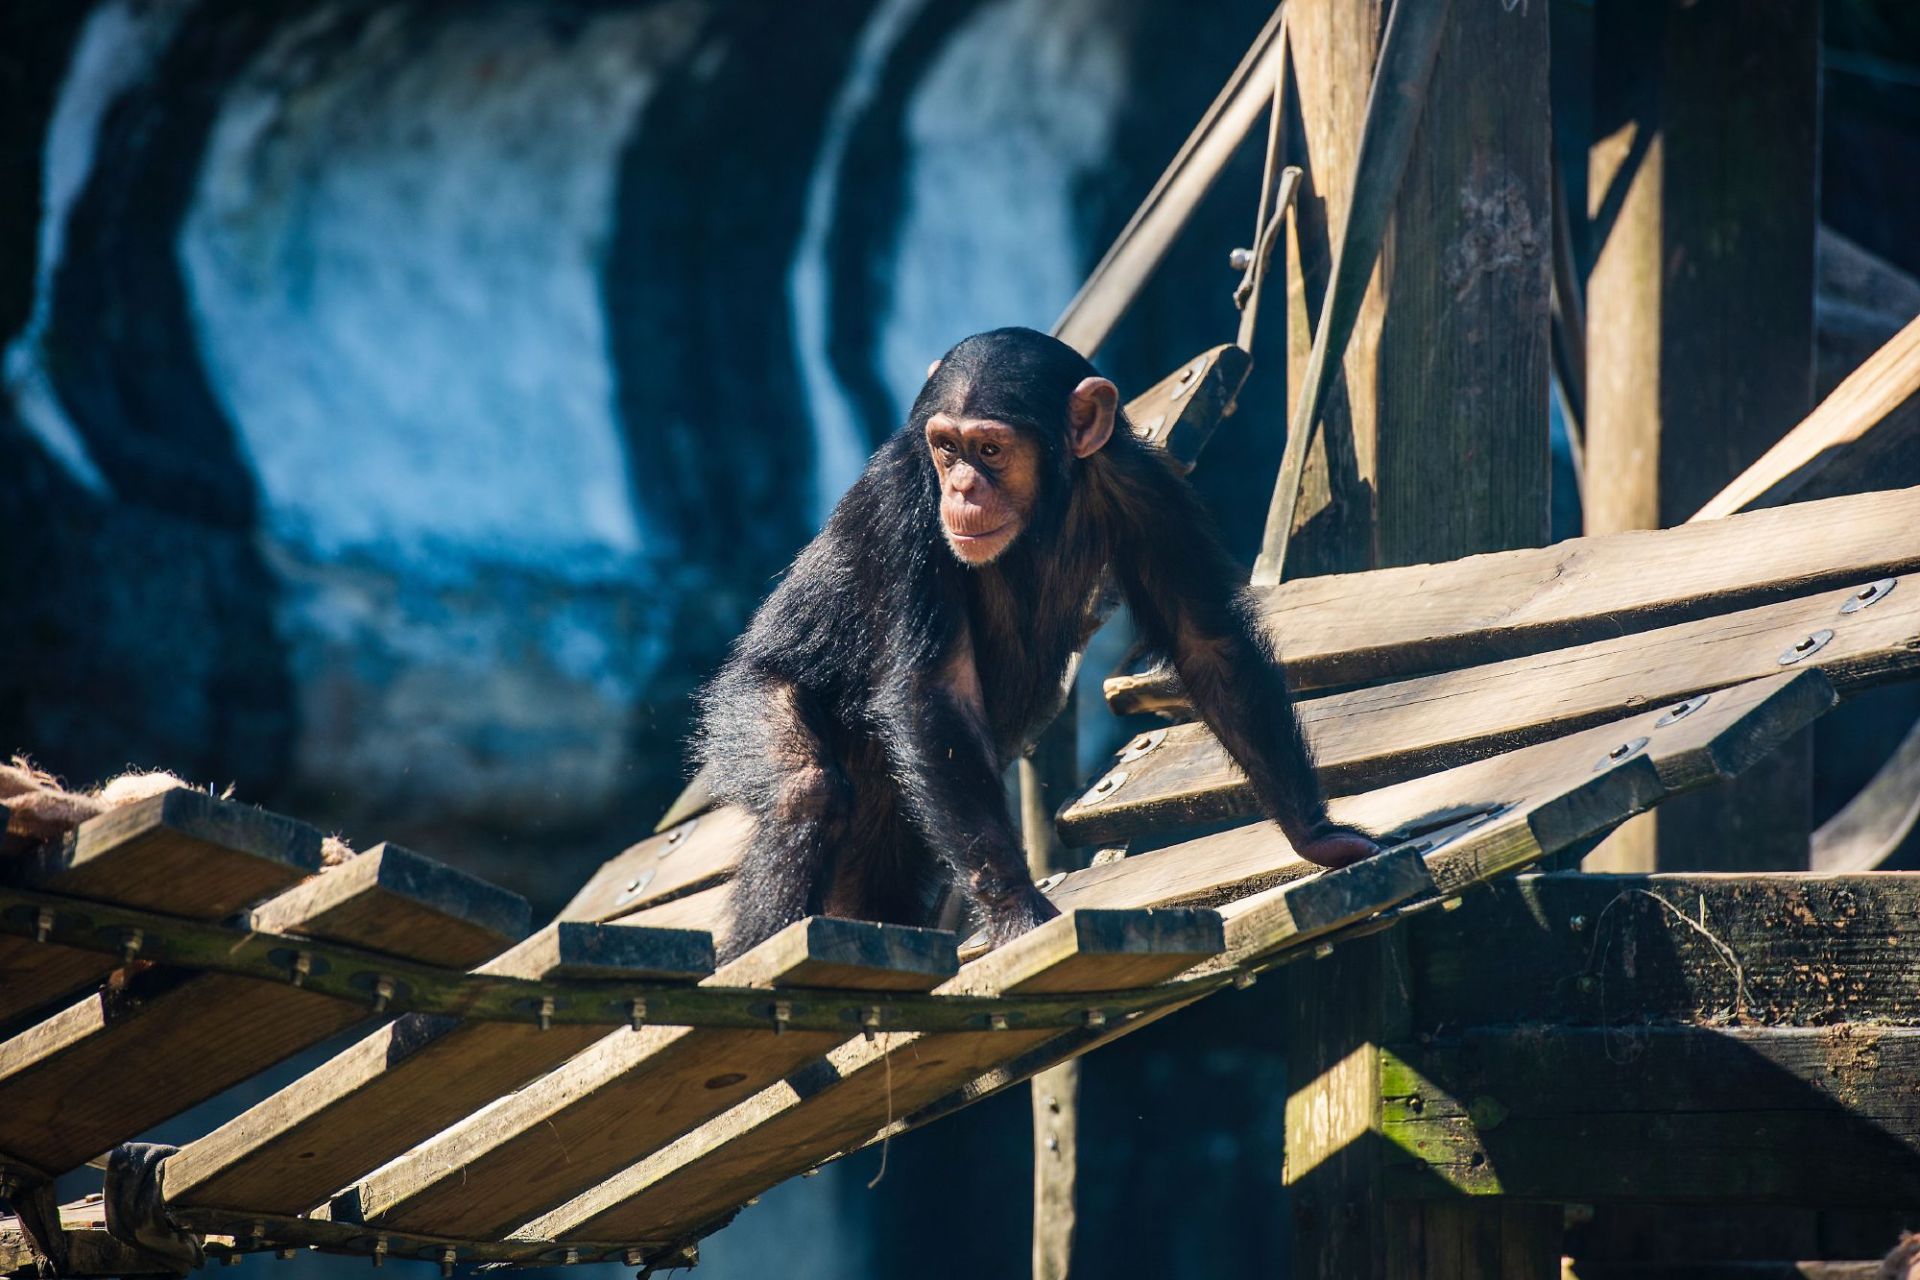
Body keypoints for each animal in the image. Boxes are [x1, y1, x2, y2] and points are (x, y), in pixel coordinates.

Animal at [702, 326, 1382, 955]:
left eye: (990, 449)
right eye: (946, 449)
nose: (962, 487)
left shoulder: (1148, 486)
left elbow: (1206, 640)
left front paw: (1316, 833)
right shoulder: (902, 499)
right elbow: (933, 688)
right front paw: (1016, 914)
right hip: (744, 699)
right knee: (805, 791)